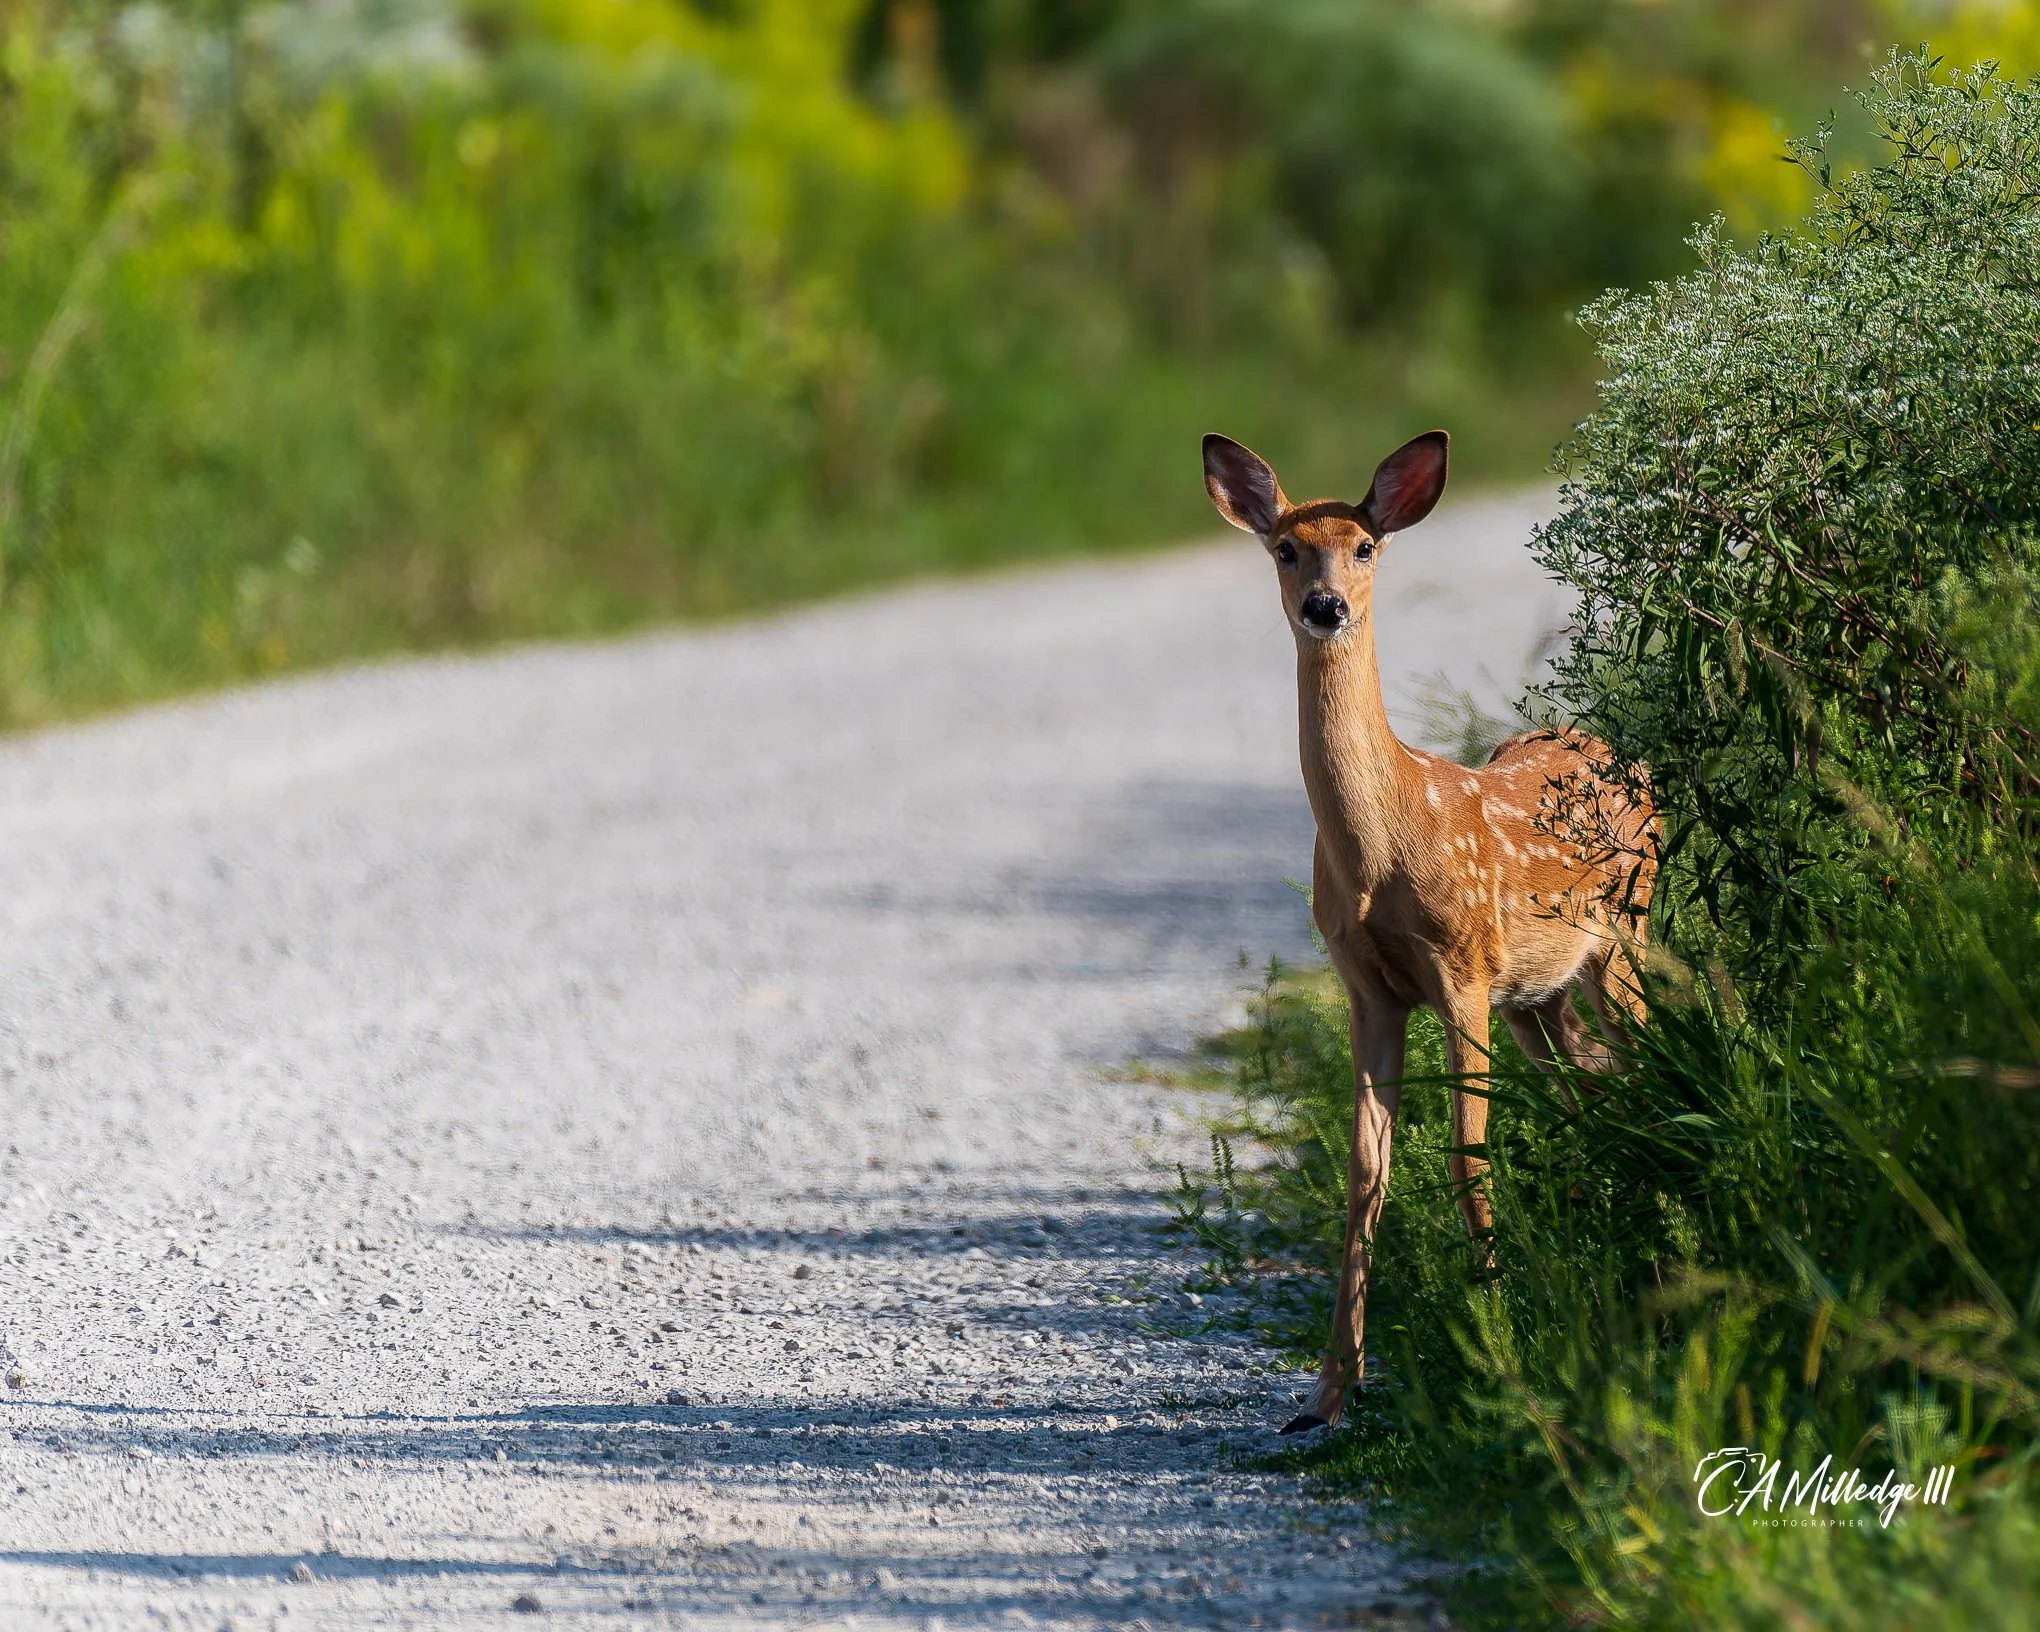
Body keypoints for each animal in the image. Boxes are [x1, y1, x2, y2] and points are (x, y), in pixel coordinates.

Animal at [1202, 429, 1656, 1434]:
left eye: (1365, 547)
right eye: (1286, 549)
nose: (1326, 606)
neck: (1384, 845)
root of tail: (1621, 753)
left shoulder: (1462, 969)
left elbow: (1464, 1156)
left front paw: (1498, 1329)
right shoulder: (1369, 988)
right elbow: (1364, 1180)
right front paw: (1328, 1391)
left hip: (1626, 936)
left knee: (1652, 1052)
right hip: (1542, 995)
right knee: (1589, 1078)